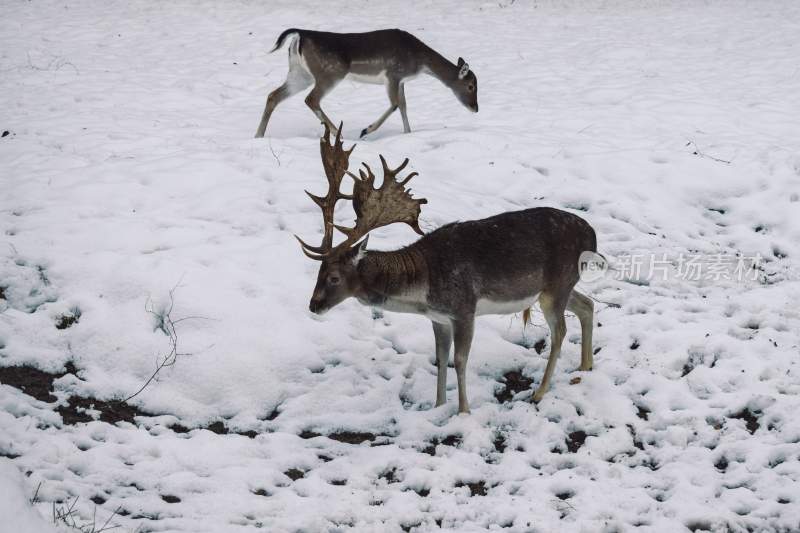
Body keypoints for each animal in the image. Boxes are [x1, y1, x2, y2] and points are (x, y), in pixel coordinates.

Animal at [256, 28, 478, 139]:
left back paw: (258, 135)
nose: (475, 108)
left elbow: (404, 105)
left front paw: (408, 134)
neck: (419, 62)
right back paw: (338, 134)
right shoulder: (393, 74)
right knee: (311, 99)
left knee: (273, 95)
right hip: (330, 72)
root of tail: (299, 35)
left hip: (300, 73)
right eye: (471, 86)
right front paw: (366, 130)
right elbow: (395, 104)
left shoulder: (401, 81)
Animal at [300, 127, 600, 414]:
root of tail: (592, 236)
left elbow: (460, 359)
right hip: (557, 286)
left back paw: (540, 392)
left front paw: (463, 411)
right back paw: (585, 366)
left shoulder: (464, 309)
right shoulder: (439, 318)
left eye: (334, 277)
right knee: (587, 304)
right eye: (317, 271)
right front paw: (438, 406)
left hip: (556, 285)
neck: (424, 287)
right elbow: (441, 358)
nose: (313, 305)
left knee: (560, 331)